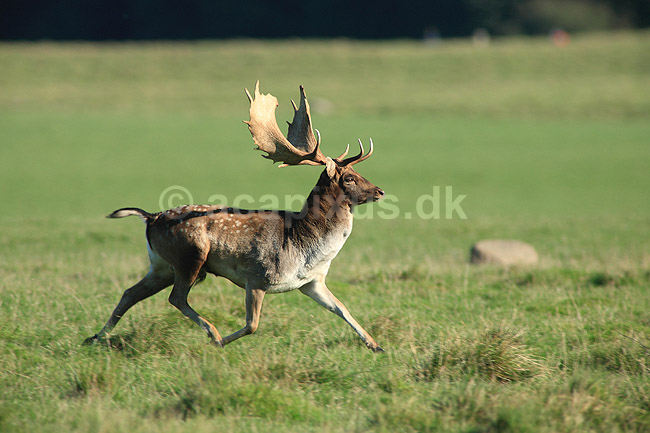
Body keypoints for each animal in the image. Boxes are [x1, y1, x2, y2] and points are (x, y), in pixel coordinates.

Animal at [84, 81, 385, 352]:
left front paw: (375, 345)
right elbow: (252, 325)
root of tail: (151, 217)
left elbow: (342, 309)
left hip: (160, 265)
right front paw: (219, 342)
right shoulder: (258, 276)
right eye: (349, 178)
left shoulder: (311, 283)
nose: (380, 191)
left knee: (130, 293)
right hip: (191, 256)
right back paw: (213, 333)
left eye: (358, 173)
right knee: (176, 298)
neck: (304, 246)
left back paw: (95, 337)